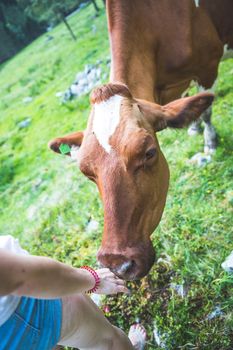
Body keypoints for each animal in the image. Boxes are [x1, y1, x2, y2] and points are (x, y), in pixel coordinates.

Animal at [48, 0, 232, 278]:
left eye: (149, 153)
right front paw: (194, 129)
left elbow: (206, 107)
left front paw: (209, 142)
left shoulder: (207, 65)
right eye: (86, 172)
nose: (117, 263)